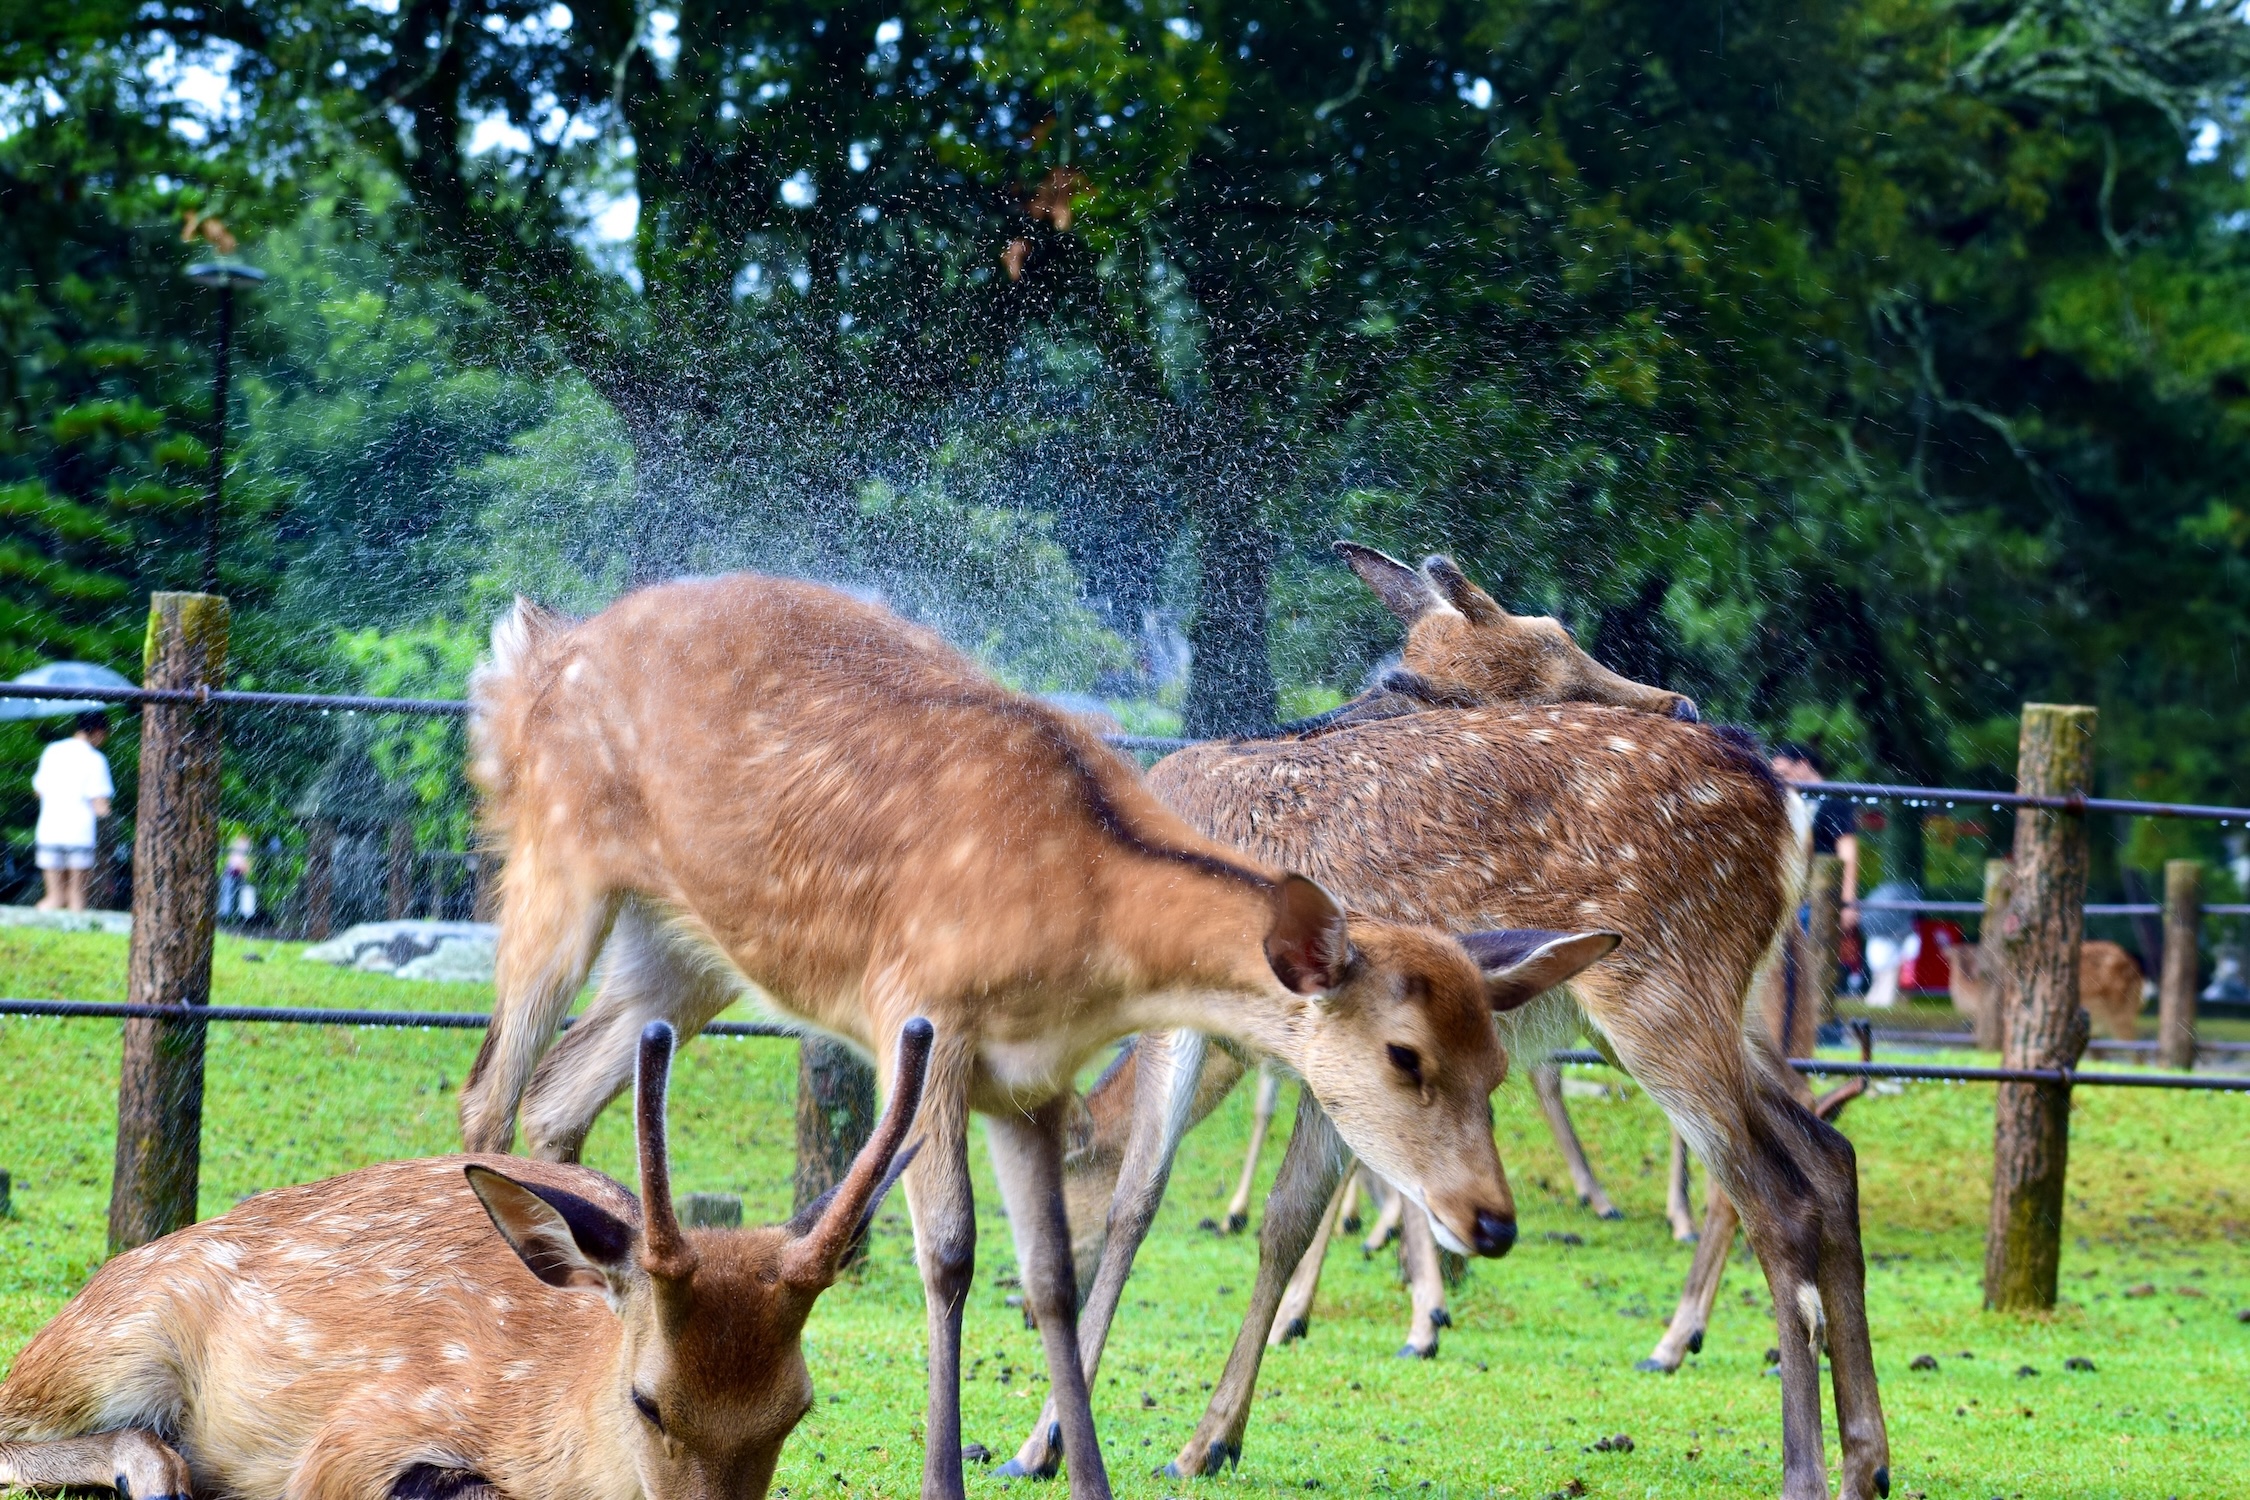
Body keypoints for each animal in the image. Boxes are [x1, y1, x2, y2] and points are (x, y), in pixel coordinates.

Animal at [456, 575, 1629, 1500]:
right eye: (1405, 1054)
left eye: (1497, 1065)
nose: (1492, 1222)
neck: (1078, 920)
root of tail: (529, 643)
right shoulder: (923, 1024)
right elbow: (950, 1255)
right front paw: (947, 1474)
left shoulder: (1032, 1085)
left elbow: (1054, 1274)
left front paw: (1079, 1469)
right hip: (553, 869)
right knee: (490, 1086)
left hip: (686, 951)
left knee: (565, 1089)